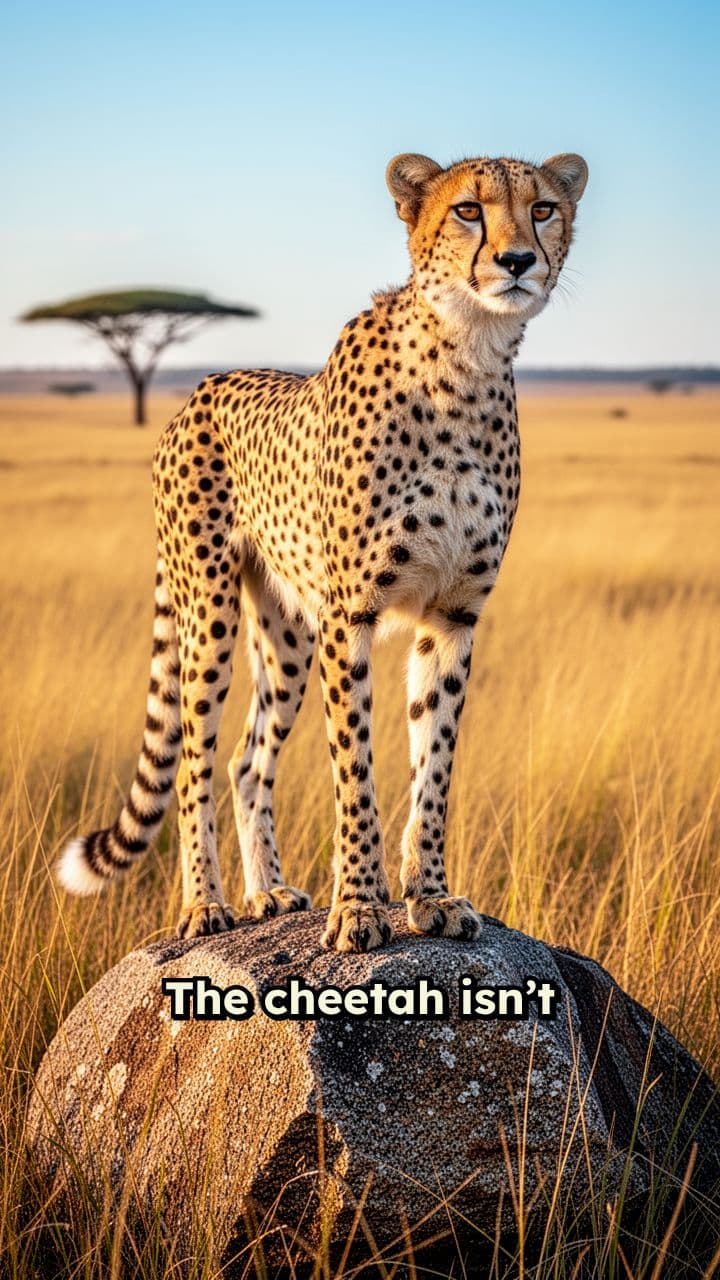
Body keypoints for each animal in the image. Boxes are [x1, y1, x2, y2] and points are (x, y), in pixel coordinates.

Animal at [58, 150, 588, 952]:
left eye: (544, 208)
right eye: (468, 210)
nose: (518, 259)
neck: (467, 356)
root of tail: (200, 388)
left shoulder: (453, 614)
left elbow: (433, 764)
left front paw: (430, 896)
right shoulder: (352, 613)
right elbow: (356, 769)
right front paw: (362, 906)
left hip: (285, 633)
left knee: (247, 761)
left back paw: (268, 892)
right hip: (209, 610)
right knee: (192, 762)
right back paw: (205, 905)